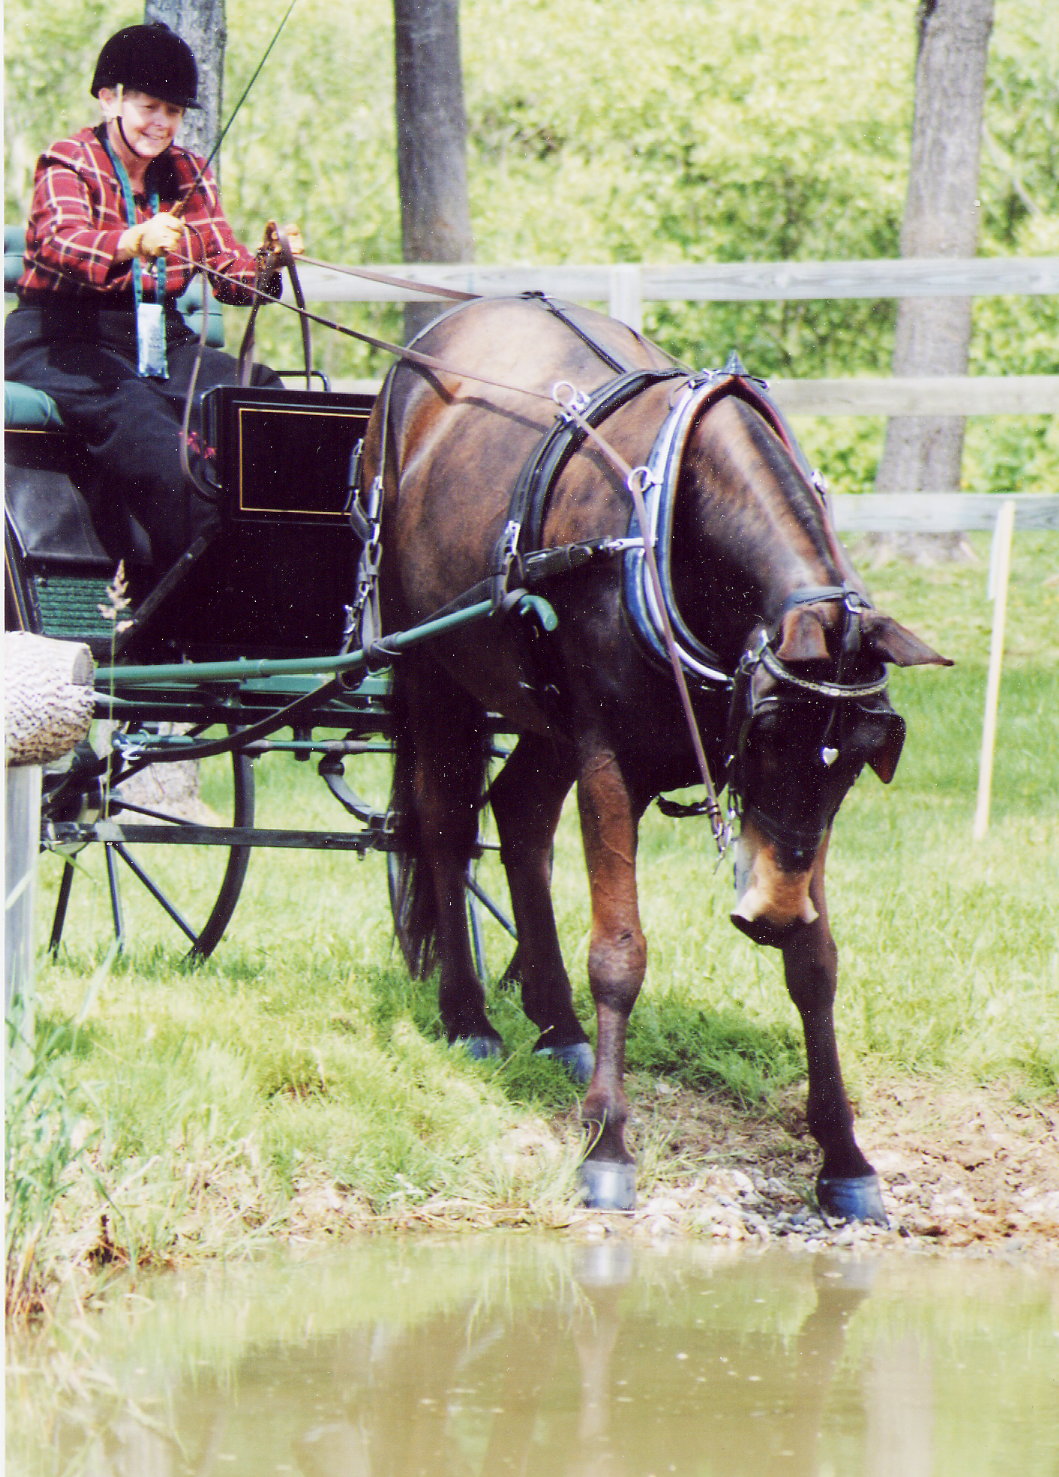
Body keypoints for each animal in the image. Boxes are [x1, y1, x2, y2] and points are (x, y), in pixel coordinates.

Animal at [358, 293, 945, 1217]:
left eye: (853, 760)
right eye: (763, 736)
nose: (769, 913)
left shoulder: (789, 831)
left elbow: (815, 966)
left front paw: (843, 1155)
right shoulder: (608, 760)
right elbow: (618, 953)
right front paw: (606, 1142)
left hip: (542, 710)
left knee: (519, 817)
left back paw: (556, 1025)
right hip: (430, 669)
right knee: (446, 825)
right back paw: (470, 1019)